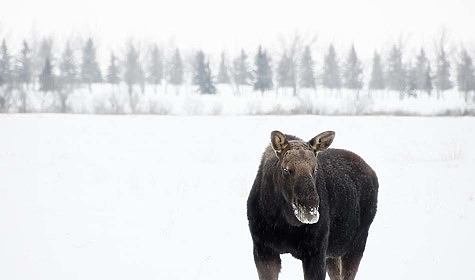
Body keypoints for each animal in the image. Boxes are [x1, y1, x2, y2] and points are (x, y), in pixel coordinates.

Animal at [247, 131, 378, 280]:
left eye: (315, 169)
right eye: (286, 169)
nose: (309, 208)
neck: (283, 222)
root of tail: (372, 173)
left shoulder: (316, 251)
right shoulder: (263, 249)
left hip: (357, 242)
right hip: (334, 252)